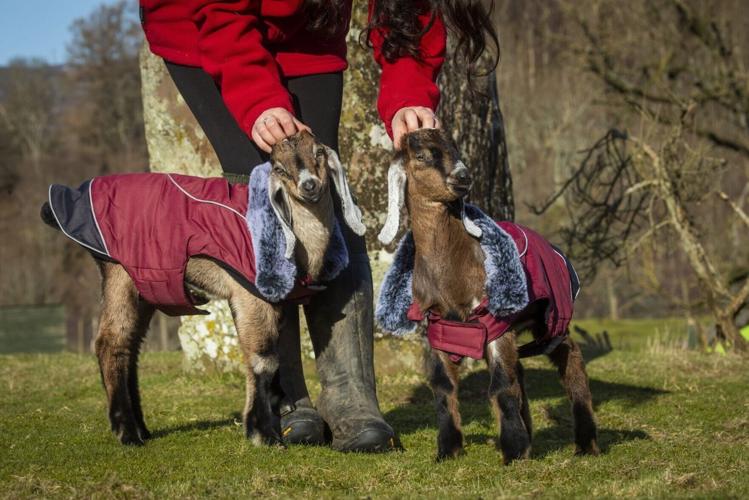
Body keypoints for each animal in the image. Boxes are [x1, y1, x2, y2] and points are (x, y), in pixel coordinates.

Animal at [40, 131, 365, 446]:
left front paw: (273, 410)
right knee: (111, 343)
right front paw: (262, 433)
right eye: (279, 169)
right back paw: (128, 433)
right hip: (120, 273)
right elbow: (263, 359)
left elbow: (271, 354)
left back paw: (142, 429)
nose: (309, 185)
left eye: (319, 153)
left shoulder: (274, 299)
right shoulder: (249, 294)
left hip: (145, 287)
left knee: (130, 346)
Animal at [376, 129, 599, 463]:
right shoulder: (438, 327)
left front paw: (514, 451)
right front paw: (448, 450)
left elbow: (500, 386)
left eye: (456, 150)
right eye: (422, 155)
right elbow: (443, 387)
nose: (463, 176)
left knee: (568, 356)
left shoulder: (495, 323)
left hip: (551, 316)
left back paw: (586, 444)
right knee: (520, 370)